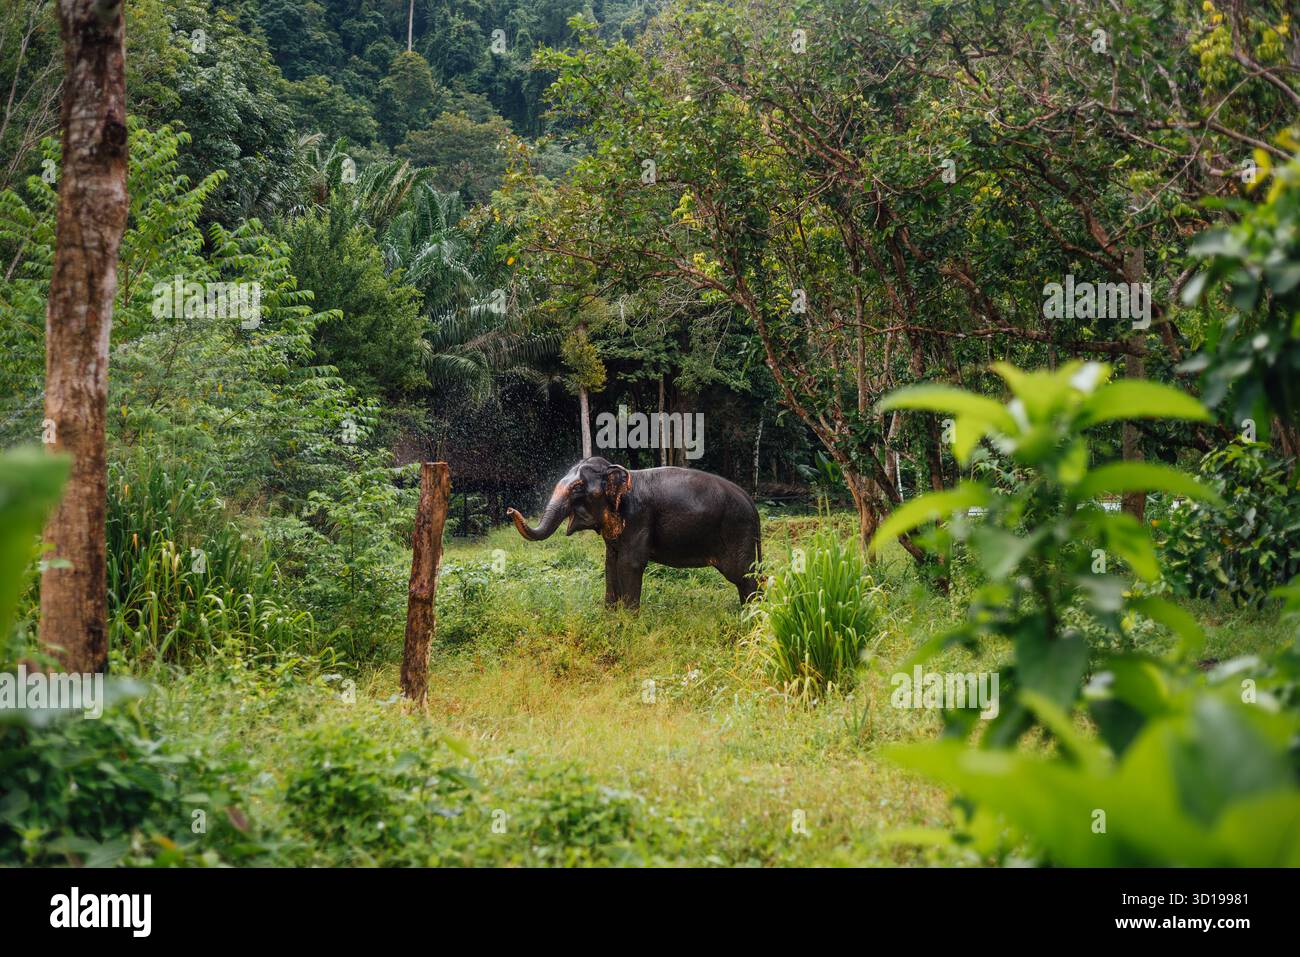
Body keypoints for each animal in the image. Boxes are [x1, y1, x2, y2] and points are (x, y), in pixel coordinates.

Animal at [507, 456, 761, 610]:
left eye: (577, 488)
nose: (510, 509)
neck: (621, 473)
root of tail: (752, 502)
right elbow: (611, 562)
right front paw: (609, 616)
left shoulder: (638, 517)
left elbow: (629, 563)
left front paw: (627, 622)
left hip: (737, 531)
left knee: (744, 576)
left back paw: (752, 617)